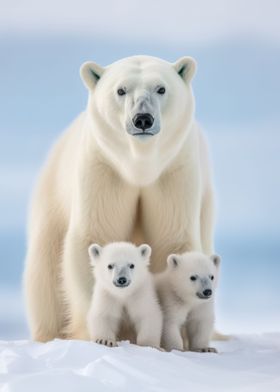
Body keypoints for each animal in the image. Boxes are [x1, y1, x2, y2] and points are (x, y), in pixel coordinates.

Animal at [24, 53, 217, 342]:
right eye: (121, 90)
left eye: (161, 88)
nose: (143, 119)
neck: (139, 166)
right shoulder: (103, 167)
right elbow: (96, 234)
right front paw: (95, 331)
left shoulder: (174, 171)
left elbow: (172, 238)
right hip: (52, 202)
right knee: (44, 280)